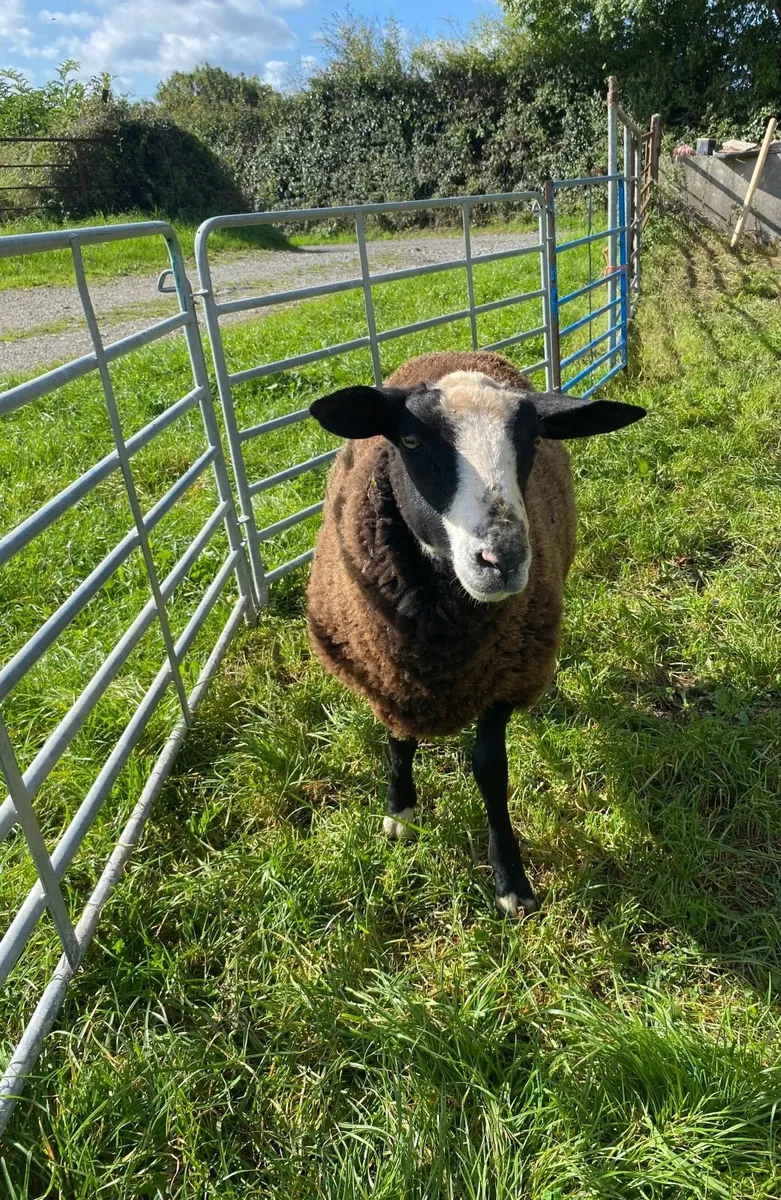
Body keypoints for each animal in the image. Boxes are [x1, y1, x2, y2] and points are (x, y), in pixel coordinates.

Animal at [306, 350, 645, 916]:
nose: (503, 559)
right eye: (411, 441)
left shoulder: (505, 672)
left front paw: (510, 879)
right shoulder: (389, 668)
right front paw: (400, 812)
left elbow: (490, 770)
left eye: (532, 441)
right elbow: (399, 740)